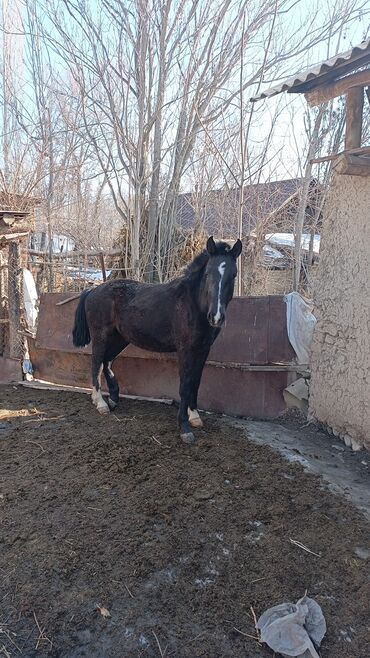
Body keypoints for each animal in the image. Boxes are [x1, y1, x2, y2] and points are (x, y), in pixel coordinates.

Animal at [72, 234, 241, 440]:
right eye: (208, 273)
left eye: (233, 275)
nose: (216, 317)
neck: (192, 304)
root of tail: (92, 291)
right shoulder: (185, 349)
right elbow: (185, 384)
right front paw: (185, 428)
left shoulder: (203, 350)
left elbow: (196, 382)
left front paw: (194, 416)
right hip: (101, 336)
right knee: (96, 363)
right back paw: (101, 403)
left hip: (120, 338)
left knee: (107, 362)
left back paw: (113, 399)